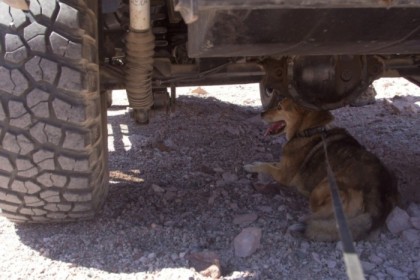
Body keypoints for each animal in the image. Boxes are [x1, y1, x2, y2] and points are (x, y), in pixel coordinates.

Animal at [244, 97, 398, 241]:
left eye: (279, 107)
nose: (261, 114)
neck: (309, 131)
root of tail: (378, 199)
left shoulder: (284, 175)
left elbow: (266, 166)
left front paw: (251, 166)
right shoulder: (284, 166)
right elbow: (271, 163)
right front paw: (256, 163)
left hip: (322, 189)